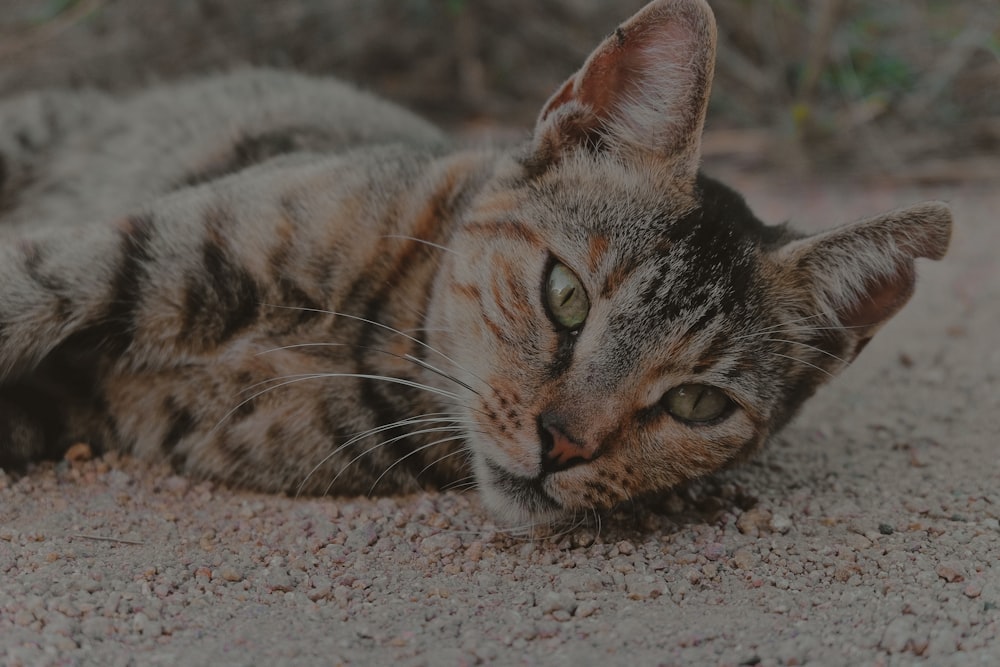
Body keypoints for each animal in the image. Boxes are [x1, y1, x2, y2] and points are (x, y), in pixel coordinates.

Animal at [0, 1, 952, 528]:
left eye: (696, 403)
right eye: (565, 296)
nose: (563, 445)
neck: (368, 341)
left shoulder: (80, 404)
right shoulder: (149, 244)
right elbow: (29, 285)